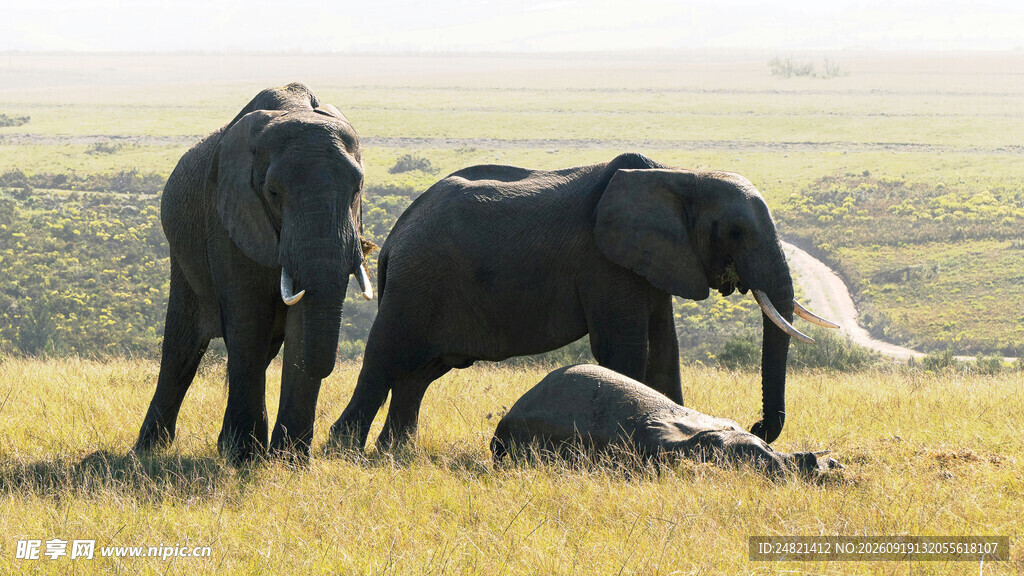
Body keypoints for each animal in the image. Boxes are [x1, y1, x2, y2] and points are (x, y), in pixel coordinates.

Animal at [134, 83, 373, 463]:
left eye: (357, 190)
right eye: (273, 193)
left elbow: (299, 327)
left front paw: (289, 462)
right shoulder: (227, 215)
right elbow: (248, 319)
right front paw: (244, 456)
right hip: (183, 253)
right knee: (182, 348)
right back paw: (149, 449)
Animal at [331, 152, 836, 452]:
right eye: (735, 232)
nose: (757, 426)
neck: (678, 175)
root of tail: (393, 238)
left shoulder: (652, 260)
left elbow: (665, 350)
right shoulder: (603, 261)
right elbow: (624, 349)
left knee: (419, 373)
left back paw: (395, 455)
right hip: (417, 283)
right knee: (385, 358)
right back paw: (345, 449)